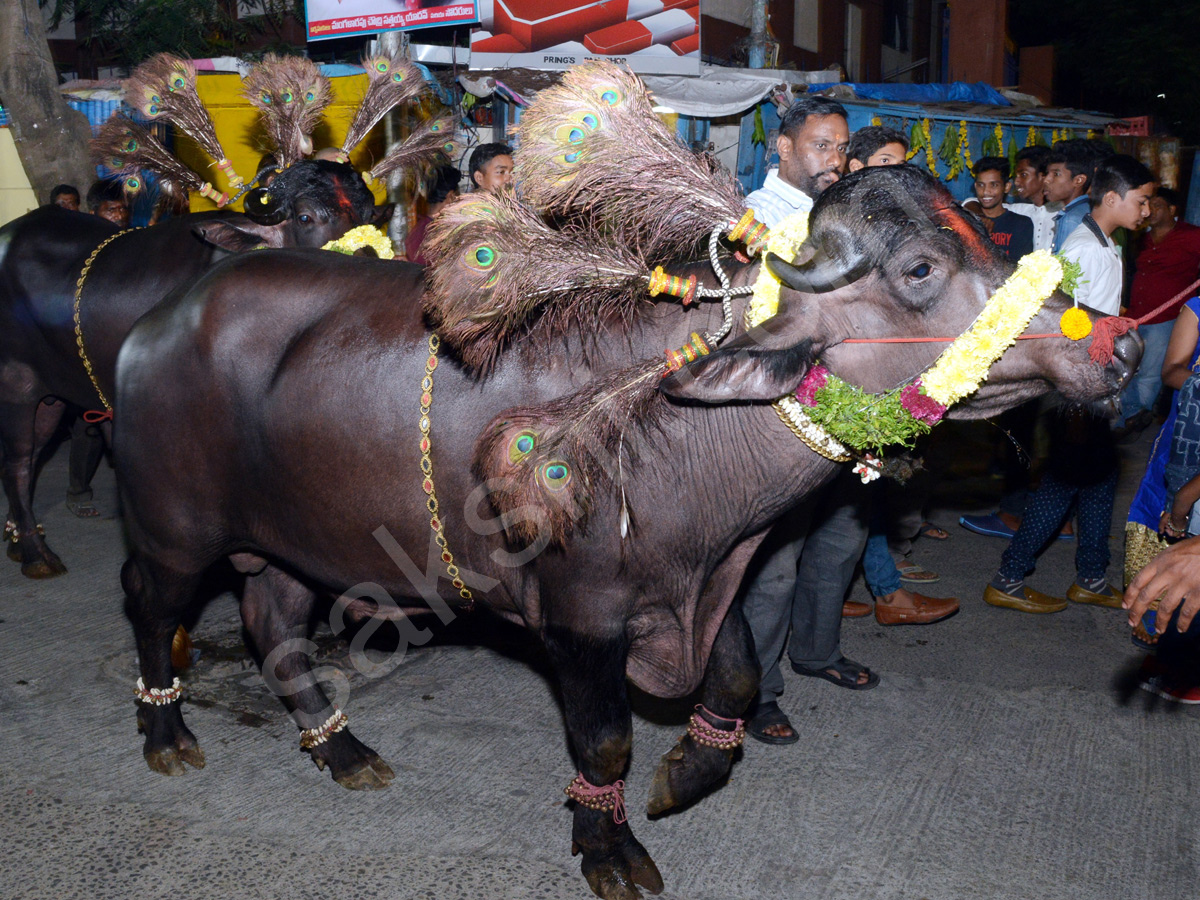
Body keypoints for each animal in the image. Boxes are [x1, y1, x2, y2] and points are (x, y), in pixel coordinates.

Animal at [114, 165, 1142, 897]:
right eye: (921, 270)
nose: (1120, 344)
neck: (679, 419)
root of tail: (161, 320)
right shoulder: (579, 619)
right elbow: (603, 743)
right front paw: (606, 845)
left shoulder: (703, 580)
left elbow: (735, 678)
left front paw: (686, 772)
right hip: (173, 531)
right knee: (152, 606)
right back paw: (165, 732)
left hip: (287, 543)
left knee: (273, 626)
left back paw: (342, 750)